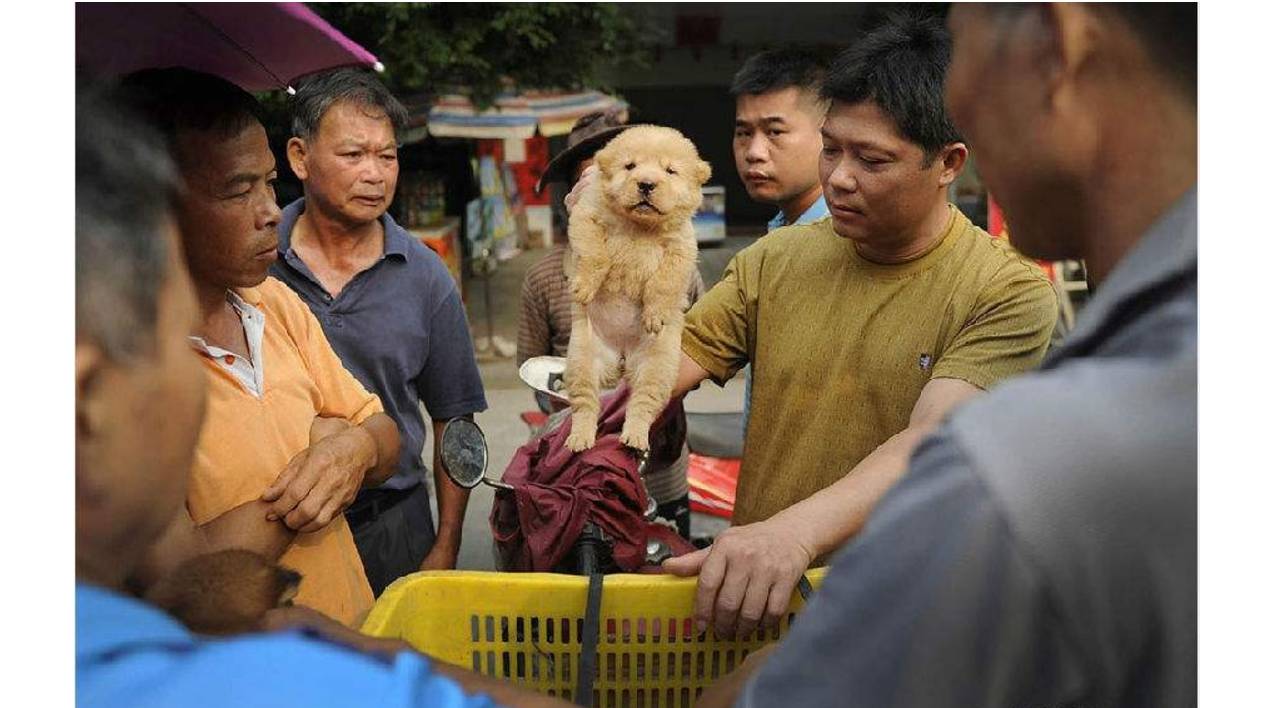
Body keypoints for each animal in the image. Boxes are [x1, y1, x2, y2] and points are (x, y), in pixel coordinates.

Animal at [568, 123, 716, 449]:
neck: (639, 225)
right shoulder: (587, 217)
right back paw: (579, 438)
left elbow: (663, 283)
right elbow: (595, 255)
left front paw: (654, 315)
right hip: (581, 358)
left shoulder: (681, 248)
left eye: (670, 171)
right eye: (630, 166)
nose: (646, 184)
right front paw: (584, 287)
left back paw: (634, 438)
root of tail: (622, 357)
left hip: (658, 365)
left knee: (642, 404)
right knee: (585, 404)